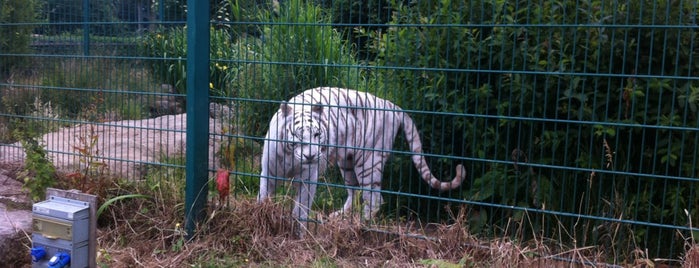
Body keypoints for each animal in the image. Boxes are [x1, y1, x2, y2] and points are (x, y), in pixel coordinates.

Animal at [258, 86, 464, 234]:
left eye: (317, 134)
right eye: (298, 136)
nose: (311, 156)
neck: (290, 156)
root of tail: (393, 106)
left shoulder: (308, 178)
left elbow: (301, 209)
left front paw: (299, 232)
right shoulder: (268, 172)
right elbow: (263, 197)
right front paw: (261, 216)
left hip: (368, 162)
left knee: (374, 199)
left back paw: (361, 225)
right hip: (347, 163)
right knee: (354, 192)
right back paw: (339, 216)